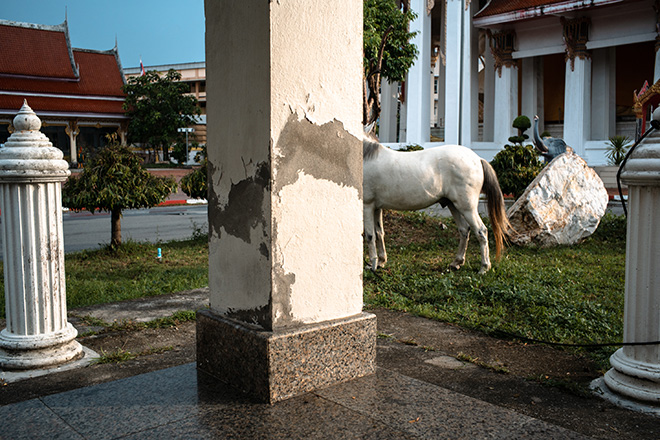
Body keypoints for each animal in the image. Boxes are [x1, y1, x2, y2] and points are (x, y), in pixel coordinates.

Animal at [360, 137, 510, 276]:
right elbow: (379, 233)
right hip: (453, 206)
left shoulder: (367, 206)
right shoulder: (377, 207)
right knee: (464, 230)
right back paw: (456, 263)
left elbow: (370, 235)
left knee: (481, 231)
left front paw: (372, 265)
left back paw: (484, 268)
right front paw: (381, 262)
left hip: (467, 208)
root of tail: (478, 159)